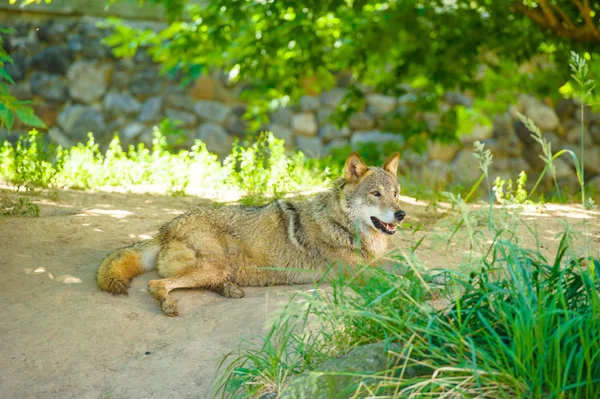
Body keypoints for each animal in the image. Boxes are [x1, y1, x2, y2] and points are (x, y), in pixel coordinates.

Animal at [97, 152, 408, 318]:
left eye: (395, 193)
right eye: (375, 194)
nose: (401, 214)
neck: (340, 223)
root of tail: (165, 229)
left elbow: (405, 265)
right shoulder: (357, 272)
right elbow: (397, 276)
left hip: (218, 267)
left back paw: (230, 289)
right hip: (214, 265)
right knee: (158, 284)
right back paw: (169, 303)